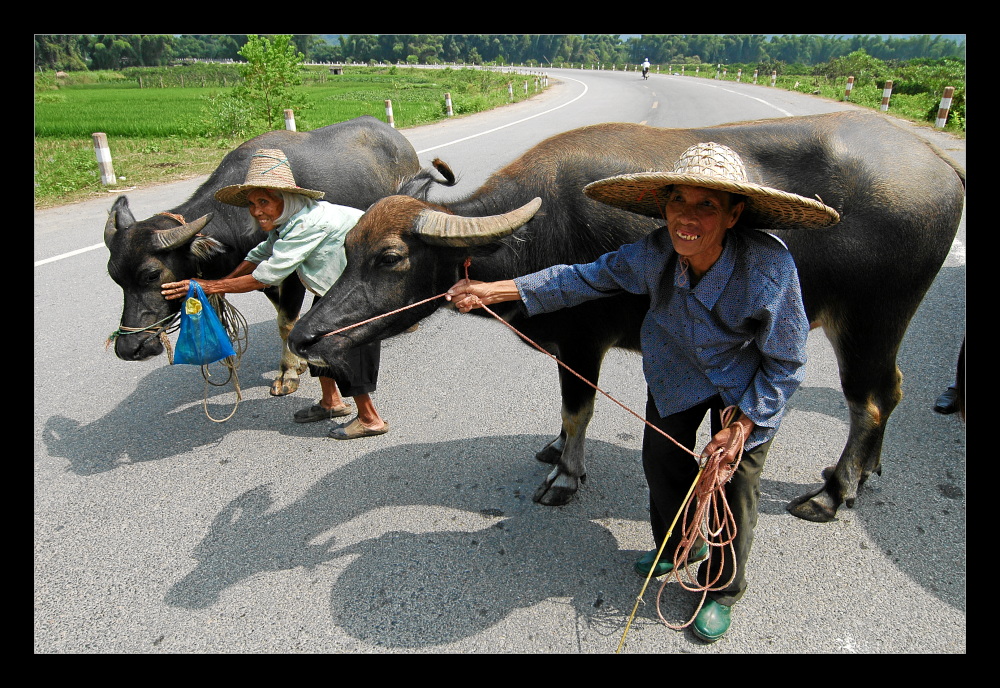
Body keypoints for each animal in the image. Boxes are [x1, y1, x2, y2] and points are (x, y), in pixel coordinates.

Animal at [105, 115, 426, 396]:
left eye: (151, 274)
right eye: (115, 278)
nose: (130, 349)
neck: (236, 219)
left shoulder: (292, 272)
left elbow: (286, 322)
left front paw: (288, 372)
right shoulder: (263, 276)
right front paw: (297, 363)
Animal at [286, 111, 964, 520]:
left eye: (390, 257)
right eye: (347, 248)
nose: (308, 336)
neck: (538, 235)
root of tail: (937, 162)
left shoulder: (583, 342)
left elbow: (577, 408)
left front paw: (566, 476)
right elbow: (566, 414)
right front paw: (554, 451)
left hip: (871, 320)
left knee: (868, 398)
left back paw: (833, 491)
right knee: (891, 390)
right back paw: (866, 473)